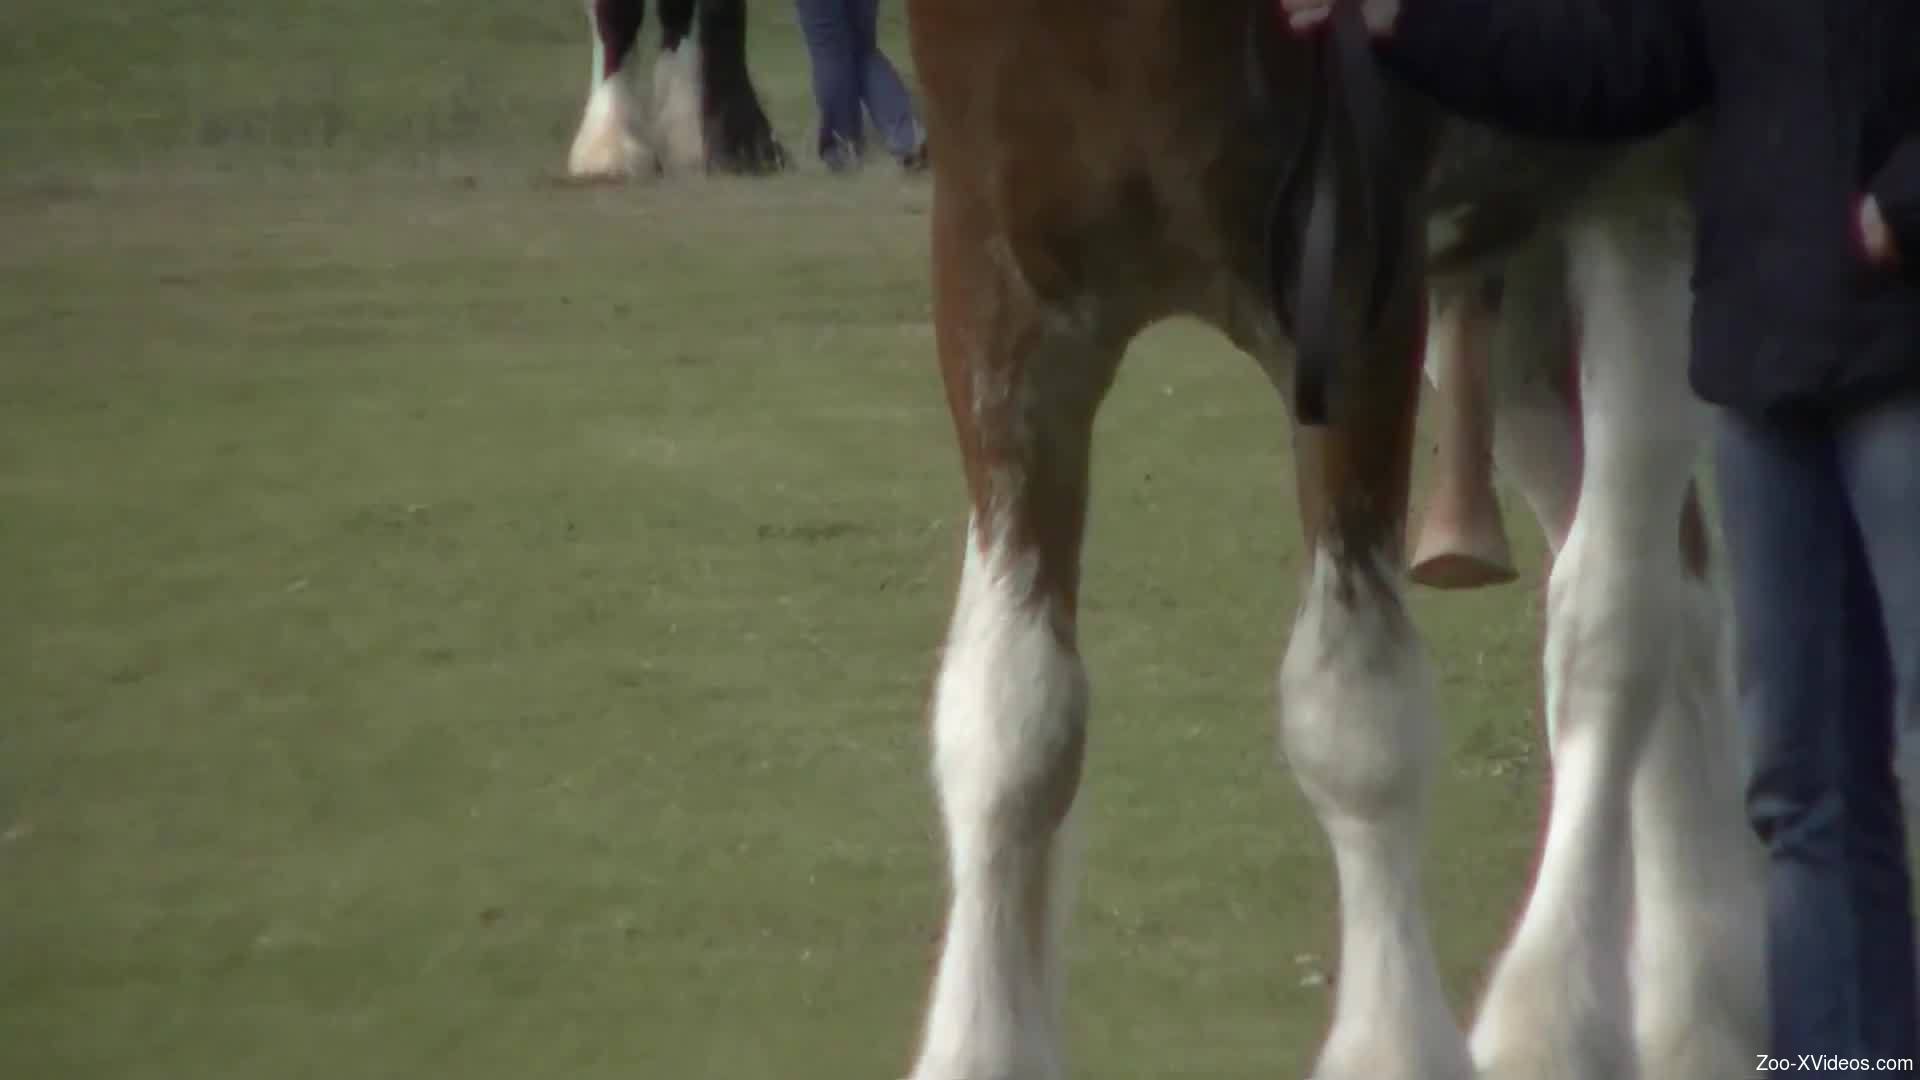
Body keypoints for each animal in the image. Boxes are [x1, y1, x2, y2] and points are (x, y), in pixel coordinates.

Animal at [897, 2, 1765, 1078]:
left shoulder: (1351, 292)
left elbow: (1353, 713)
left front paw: (1391, 1043)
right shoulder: (1005, 303)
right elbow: (1014, 719)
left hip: (1645, 198)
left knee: (1617, 617)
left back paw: (1559, 1021)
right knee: (1678, 595)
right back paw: (1701, 1013)